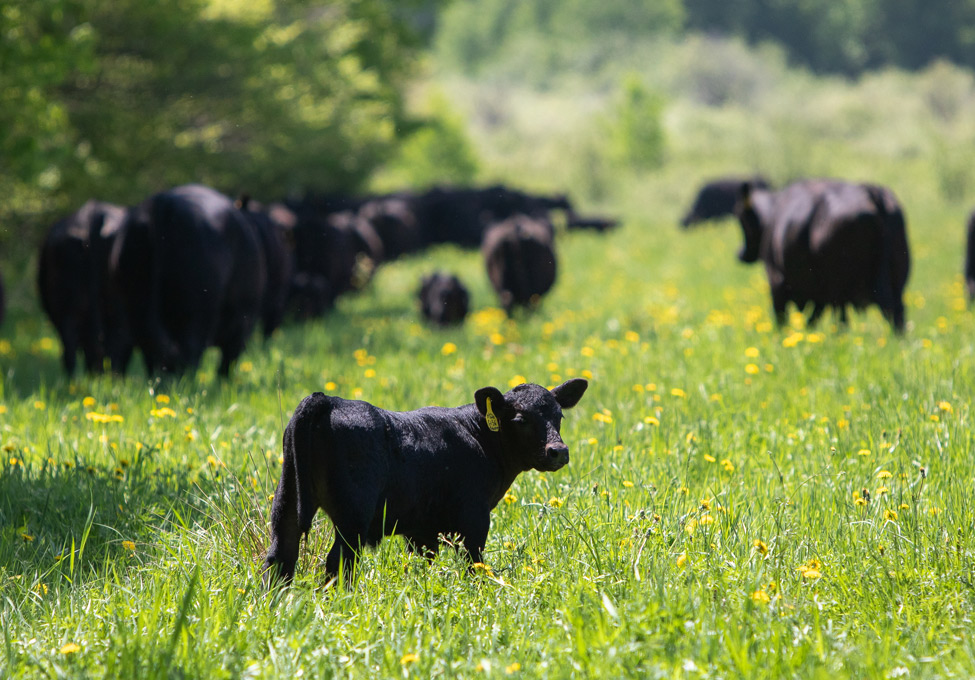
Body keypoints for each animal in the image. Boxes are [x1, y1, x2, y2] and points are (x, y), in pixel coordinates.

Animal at [111, 185, 266, 378]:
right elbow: (227, 362)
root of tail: (163, 202)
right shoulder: (243, 320)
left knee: (152, 347)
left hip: (135, 300)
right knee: (190, 349)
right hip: (198, 309)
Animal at [260, 378, 592, 584]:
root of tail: (327, 400)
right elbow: (474, 564)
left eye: (559, 415)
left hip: (287, 502)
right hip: (353, 518)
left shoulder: (422, 531)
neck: (478, 435)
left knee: (279, 559)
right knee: (337, 563)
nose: (558, 451)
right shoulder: (474, 519)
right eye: (521, 419)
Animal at [736, 179, 912, 330]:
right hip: (895, 282)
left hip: (839, 288)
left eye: (742, 220)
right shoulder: (816, 297)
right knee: (896, 316)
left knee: (842, 321)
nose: (740, 253)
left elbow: (781, 320)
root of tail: (869, 191)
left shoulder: (776, 282)